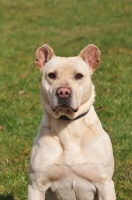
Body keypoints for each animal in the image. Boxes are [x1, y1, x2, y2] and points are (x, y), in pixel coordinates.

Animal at [27, 43, 116, 198]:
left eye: (79, 76)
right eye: (51, 75)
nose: (63, 92)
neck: (67, 123)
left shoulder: (105, 184)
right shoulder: (36, 186)